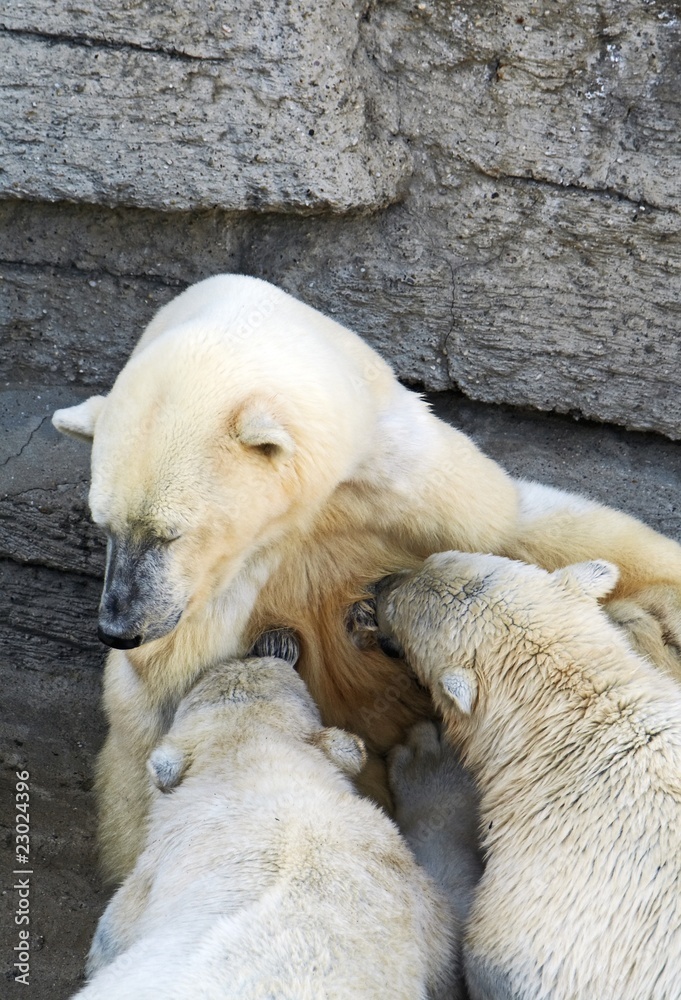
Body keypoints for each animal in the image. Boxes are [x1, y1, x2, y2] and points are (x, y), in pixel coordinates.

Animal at [51, 273, 681, 882]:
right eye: (102, 523)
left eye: (169, 532)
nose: (119, 628)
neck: (307, 513)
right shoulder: (221, 592)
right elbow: (165, 705)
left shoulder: (399, 477)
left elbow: (516, 526)